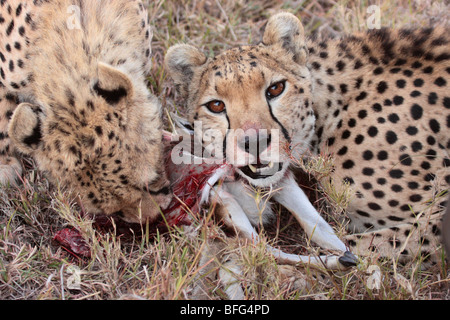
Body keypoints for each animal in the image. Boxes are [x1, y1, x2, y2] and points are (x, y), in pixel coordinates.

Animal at [166, 11, 450, 268]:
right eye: (216, 105)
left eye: (275, 89)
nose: (255, 142)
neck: (328, 109)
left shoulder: (435, 218)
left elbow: (361, 247)